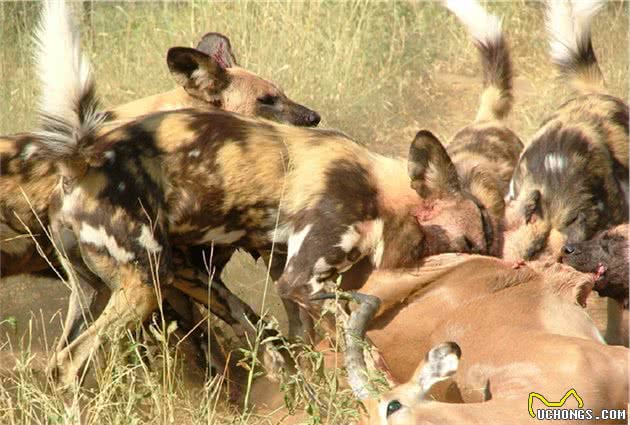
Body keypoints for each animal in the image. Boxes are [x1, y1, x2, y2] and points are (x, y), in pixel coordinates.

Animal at [30, 11, 488, 386]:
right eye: (470, 241)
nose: (487, 265)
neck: (375, 187)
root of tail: (81, 161)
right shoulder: (300, 278)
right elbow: (359, 345)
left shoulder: (281, 270)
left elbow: (300, 342)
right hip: (147, 282)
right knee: (72, 361)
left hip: (93, 292)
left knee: (59, 362)